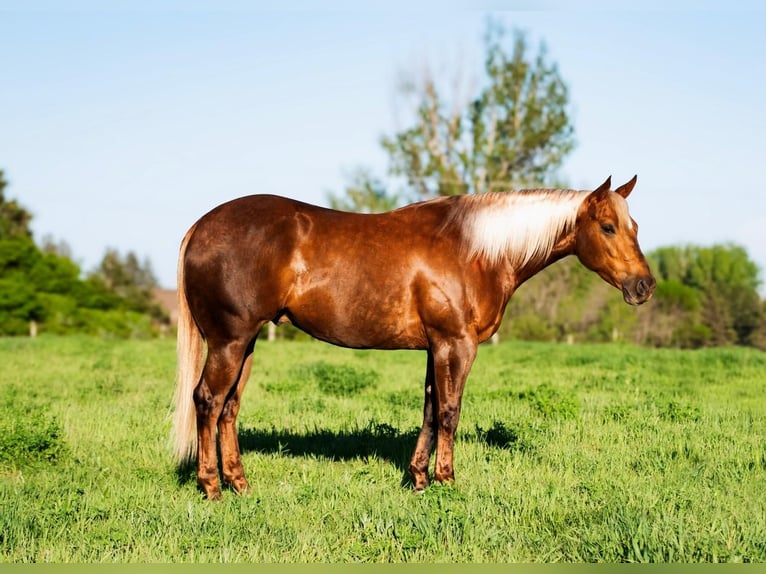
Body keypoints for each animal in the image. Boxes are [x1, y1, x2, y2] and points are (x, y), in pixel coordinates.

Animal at [176, 174, 660, 500]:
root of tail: (200, 226)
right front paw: (447, 479)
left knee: (228, 409)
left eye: (635, 227)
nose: (644, 286)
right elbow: (449, 412)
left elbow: (429, 410)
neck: (474, 250)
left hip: (247, 344)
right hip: (230, 342)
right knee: (207, 401)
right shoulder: (456, 344)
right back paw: (212, 488)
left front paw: (420, 479)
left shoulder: (435, 347)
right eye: (608, 227)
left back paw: (240, 484)